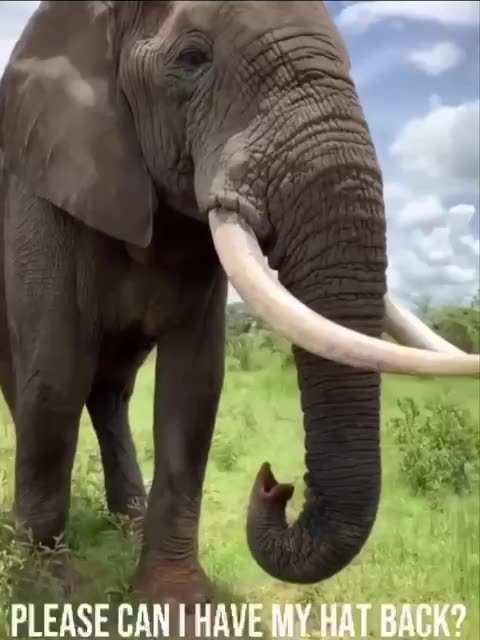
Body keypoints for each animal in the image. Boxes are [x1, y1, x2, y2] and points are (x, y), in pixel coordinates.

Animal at [0, 0, 477, 605]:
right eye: (192, 59)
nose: (275, 483)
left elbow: (195, 385)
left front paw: (178, 605)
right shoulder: (42, 186)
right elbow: (56, 371)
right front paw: (44, 597)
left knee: (111, 392)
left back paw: (127, 526)